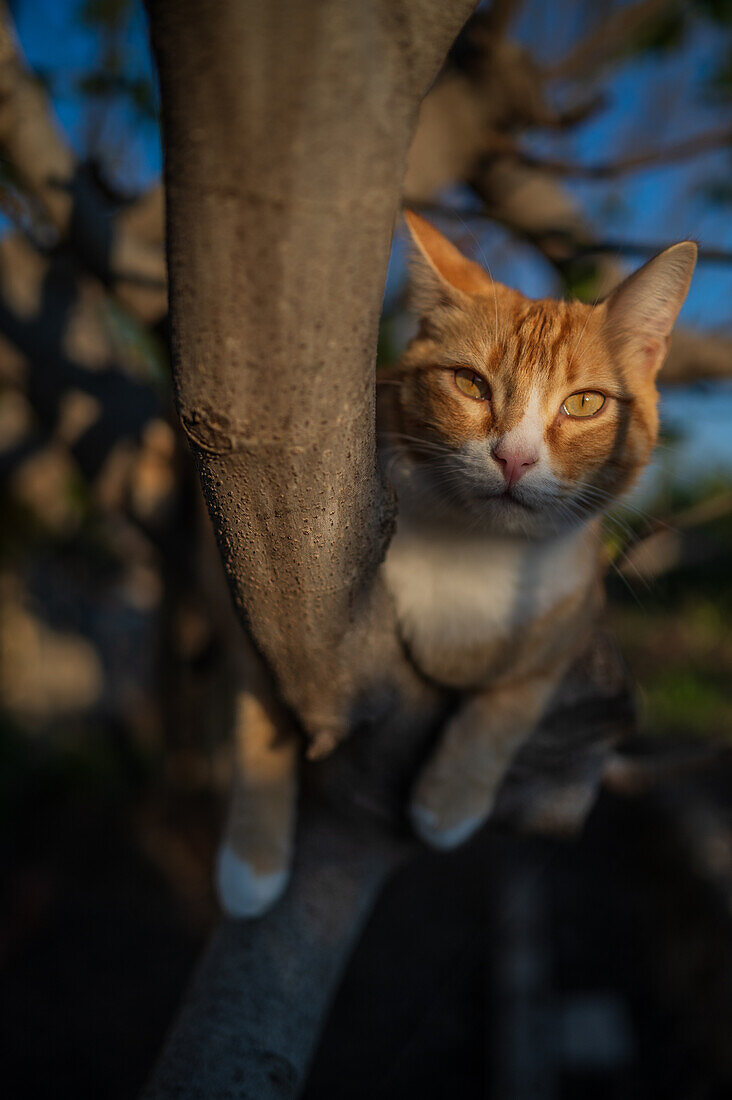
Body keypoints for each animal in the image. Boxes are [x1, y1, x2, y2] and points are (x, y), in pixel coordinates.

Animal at [214, 210, 695, 915]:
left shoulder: (578, 614)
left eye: (584, 403)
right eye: (470, 384)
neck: (474, 548)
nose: (514, 458)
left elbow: (513, 701)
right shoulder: (249, 587)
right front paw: (250, 861)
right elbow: (255, 715)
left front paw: (448, 804)